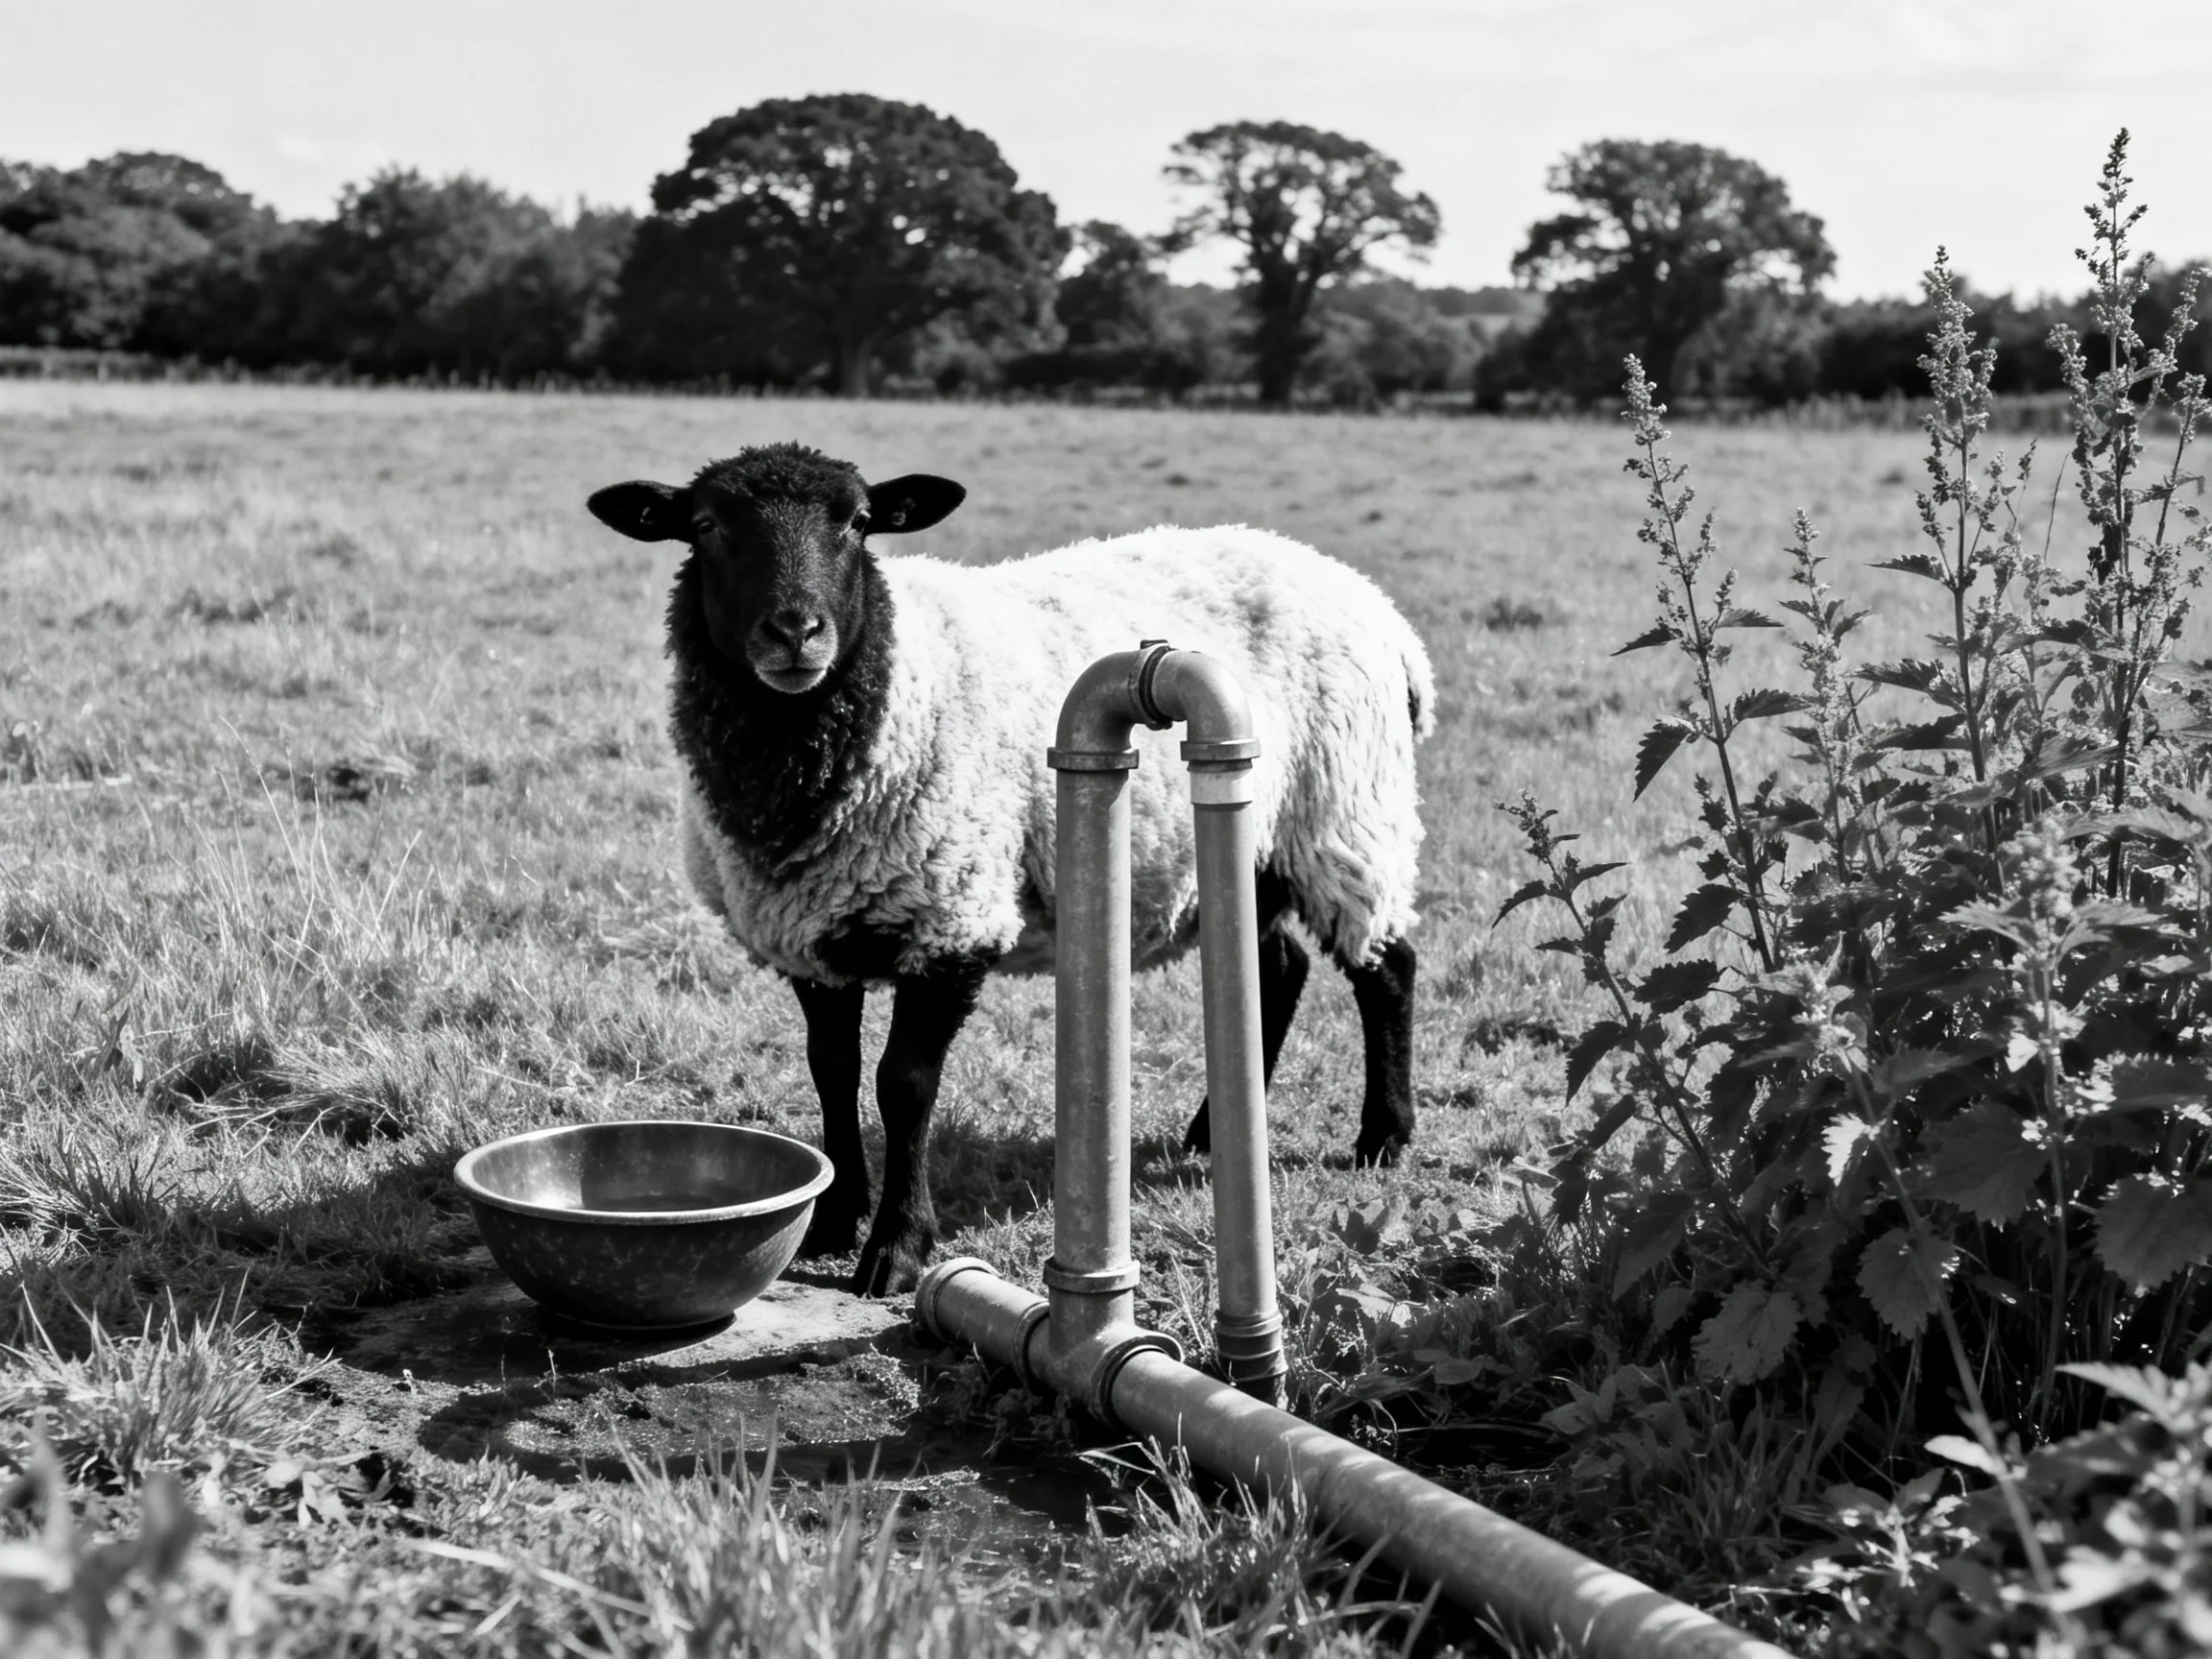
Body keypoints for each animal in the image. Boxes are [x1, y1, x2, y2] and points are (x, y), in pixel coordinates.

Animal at [587, 443, 1433, 1294]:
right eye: (704, 526)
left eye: (858, 522)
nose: (796, 633)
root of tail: (1382, 614)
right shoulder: (811, 932)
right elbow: (831, 1069)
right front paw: (829, 1221)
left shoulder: (949, 917)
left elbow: (903, 1084)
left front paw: (896, 1247)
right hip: (1256, 848)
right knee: (1279, 967)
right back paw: (1210, 1131)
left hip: (1346, 813)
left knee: (1385, 967)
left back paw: (1383, 1137)